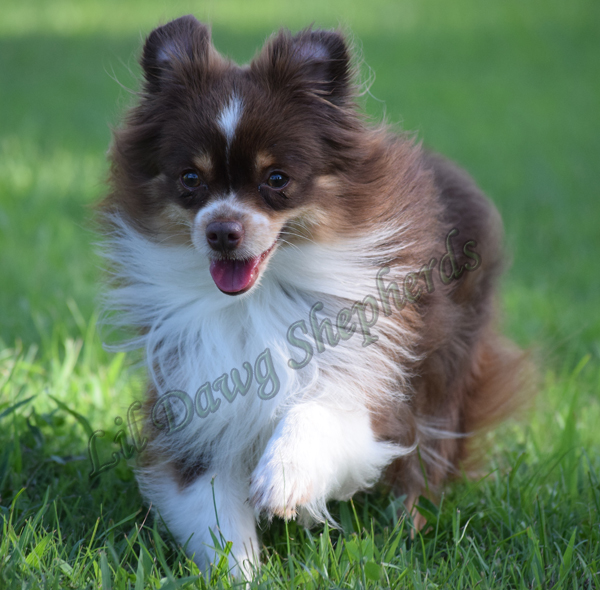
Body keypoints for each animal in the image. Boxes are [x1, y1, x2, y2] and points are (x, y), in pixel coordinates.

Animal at [101, 16, 528, 580]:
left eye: (277, 179)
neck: (256, 300)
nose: (222, 231)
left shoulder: (372, 384)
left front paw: (284, 476)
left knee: (429, 455)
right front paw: (242, 573)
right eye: (190, 179)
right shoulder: (193, 406)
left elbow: (316, 409)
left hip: (445, 366)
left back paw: (409, 526)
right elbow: (213, 508)